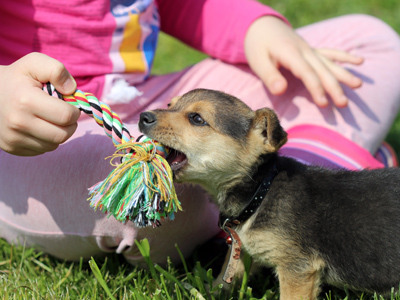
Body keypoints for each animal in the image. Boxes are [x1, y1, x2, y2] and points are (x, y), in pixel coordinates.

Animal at [139, 89, 400, 300]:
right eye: (170, 105)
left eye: (197, 119)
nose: (143, 117)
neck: (260, 191)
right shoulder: (242, 252)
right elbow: (224, 278)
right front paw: (208, 292)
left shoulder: (297, 268)